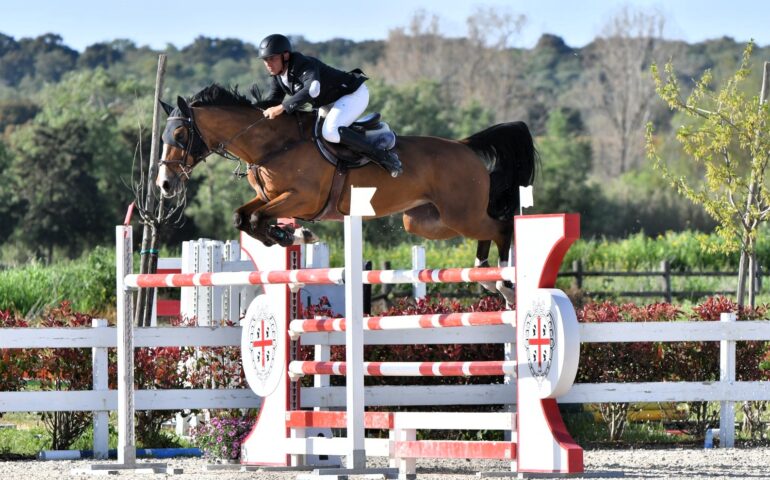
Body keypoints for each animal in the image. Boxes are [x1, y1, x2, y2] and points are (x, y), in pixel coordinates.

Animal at [156, 82, 536, 300]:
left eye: (180, 136)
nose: (165, 184)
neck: (273, 145)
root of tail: (465, 147)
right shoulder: (270, 197)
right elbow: (243, 217)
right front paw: (287, 235)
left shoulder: (302, 198)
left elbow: (256, 218)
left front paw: (291, 234)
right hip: (429, 222)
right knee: (485, 231)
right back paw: (487, 276)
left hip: (460, 214)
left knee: (501, 226)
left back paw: (503, 279)